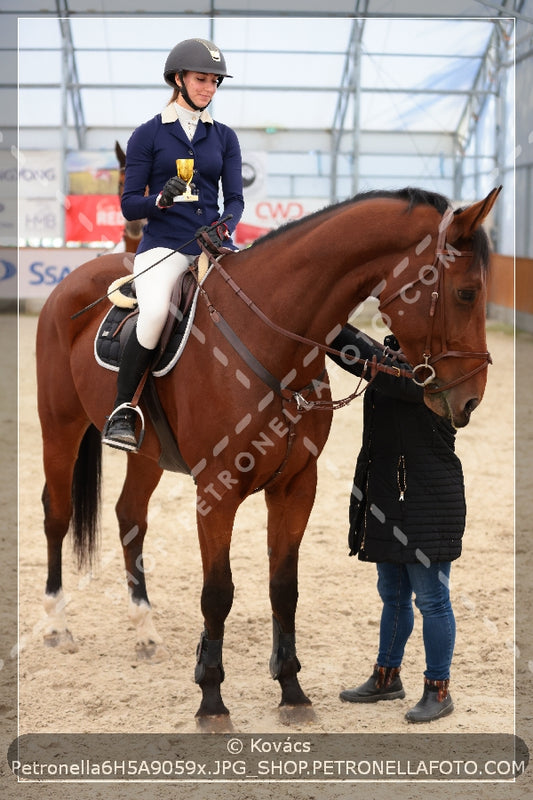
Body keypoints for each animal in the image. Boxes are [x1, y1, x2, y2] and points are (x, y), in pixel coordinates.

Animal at [36, 186, 498, 720]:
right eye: (467, 293)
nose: (471, 399)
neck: (274, 344)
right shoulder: (216, 491)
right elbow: (218, 592)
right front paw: (212, 700)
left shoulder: (296, 485)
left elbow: (284, 587)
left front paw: (292, 691)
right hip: (60, 428)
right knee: (57, 514)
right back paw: (55, 624)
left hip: (146, 455)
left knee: (130, 518)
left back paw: (146, 633)